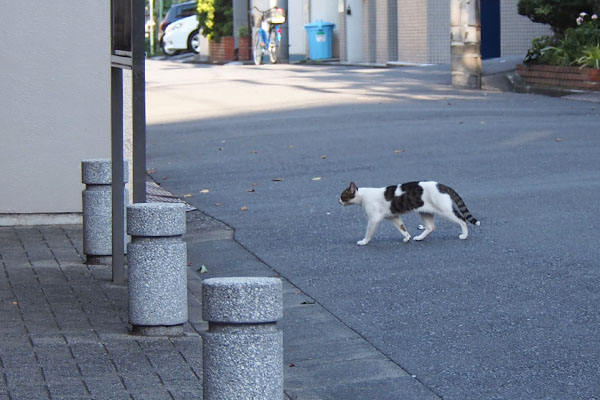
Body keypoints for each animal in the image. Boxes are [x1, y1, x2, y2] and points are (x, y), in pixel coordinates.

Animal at [340, 180, 480, 244]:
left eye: (342, 196)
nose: (338, 201)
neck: (362, 196)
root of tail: (441, 185)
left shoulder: (373, 220)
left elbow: (368, 233)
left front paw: (363, 242)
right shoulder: (393, 216)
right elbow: (402, 228)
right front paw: (407, 237)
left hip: (445, 210)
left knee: (462, 219)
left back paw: (464, 235)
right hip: (425, 212)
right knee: (431, 227)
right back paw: (419, 238)